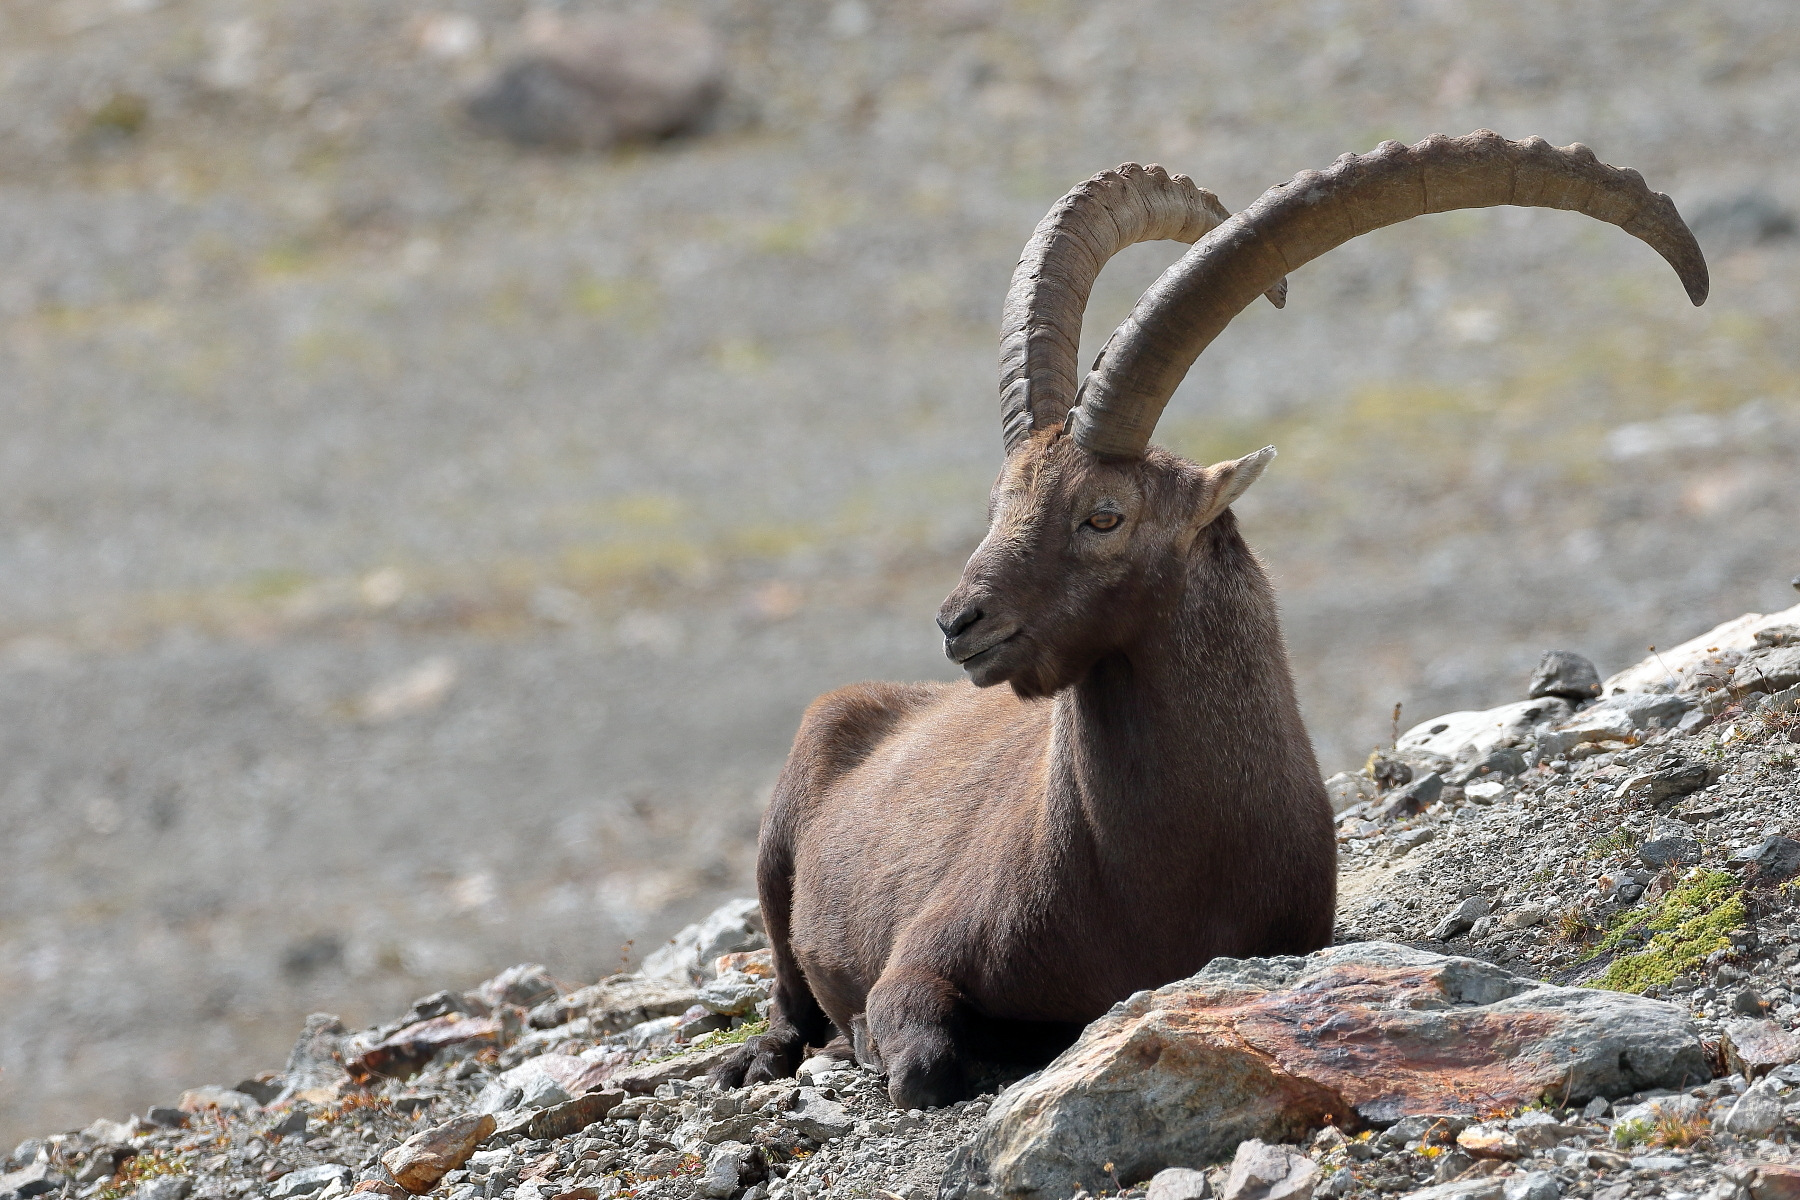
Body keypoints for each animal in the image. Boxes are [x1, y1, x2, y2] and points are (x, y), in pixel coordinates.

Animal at [712, 131, 1708, 1109]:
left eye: (1104, 514)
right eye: (1000, 501)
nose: (961, 622)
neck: (1156, 874)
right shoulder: (918, 961)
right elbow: (920, 1058)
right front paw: (889, 1045)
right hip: (776, 854)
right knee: (787, 994)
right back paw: (762, 1056)